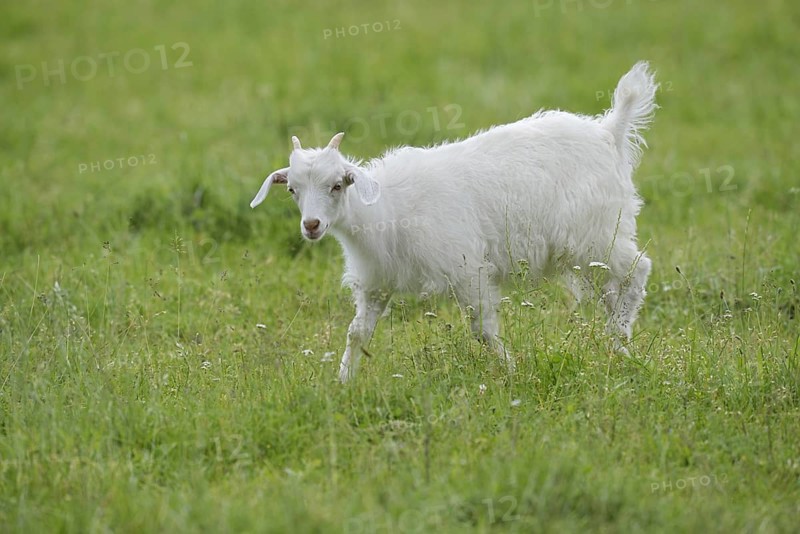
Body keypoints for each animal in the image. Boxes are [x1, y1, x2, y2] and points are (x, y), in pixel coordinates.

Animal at [251, 61, 658, 383]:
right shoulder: (376, 282)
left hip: (598, 233)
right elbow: (357, 334)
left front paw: (511, 370)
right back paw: (617, 342)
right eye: (293, 190)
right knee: (614, 288)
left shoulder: (467, 270)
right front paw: (343, 382)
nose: (312, 225)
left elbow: (484, 331)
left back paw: (619, 338)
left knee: (637, 271)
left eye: (338, 185)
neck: (385, 210)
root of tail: (609, 131)